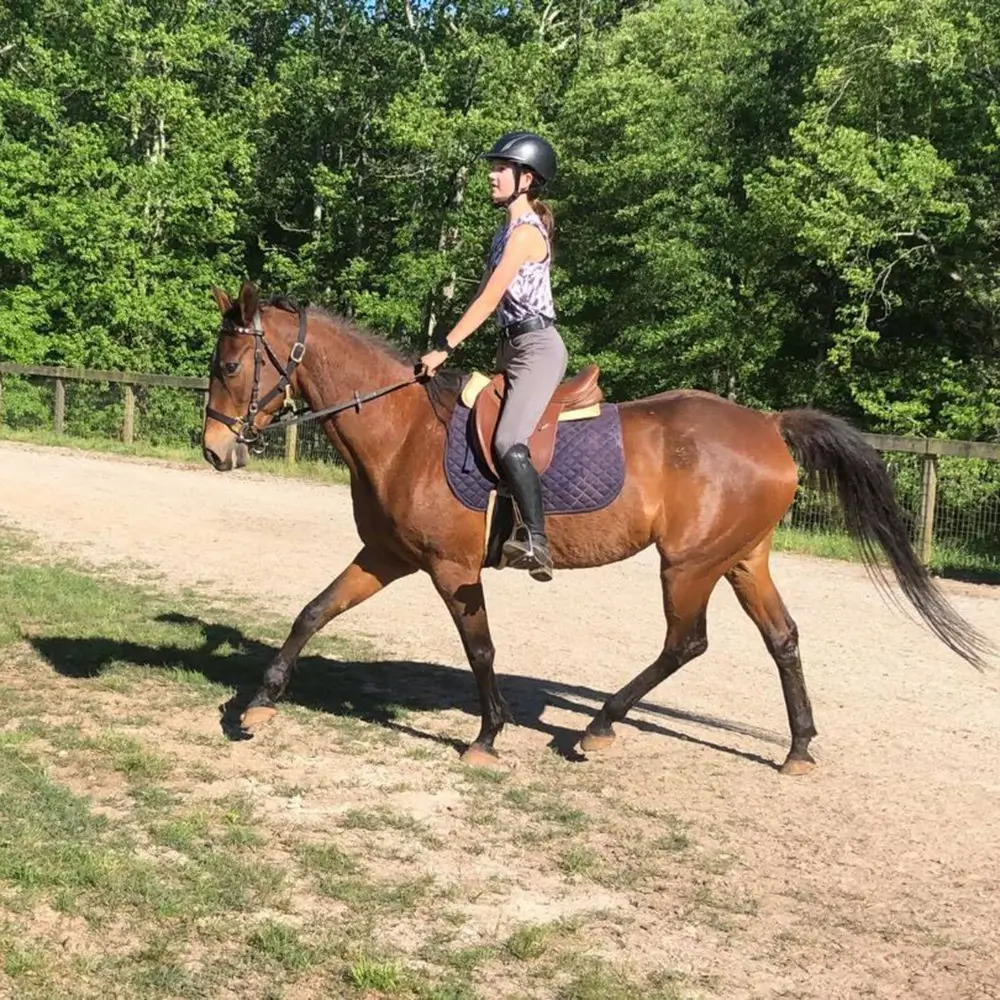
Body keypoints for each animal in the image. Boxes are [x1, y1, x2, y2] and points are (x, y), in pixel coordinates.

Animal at [201, 282, 992, 773]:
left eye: (231, 365)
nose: (212, 450)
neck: (403, 433)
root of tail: (768, 424)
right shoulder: (388, 554)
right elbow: (313, 612)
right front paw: (258, 707)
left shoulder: (452, 569)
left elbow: (481, 649)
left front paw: (487, 736)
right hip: (743, 559)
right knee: (783, 639)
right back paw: (797, 749)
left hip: (689, 565)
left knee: (686, 643)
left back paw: (598, 727)